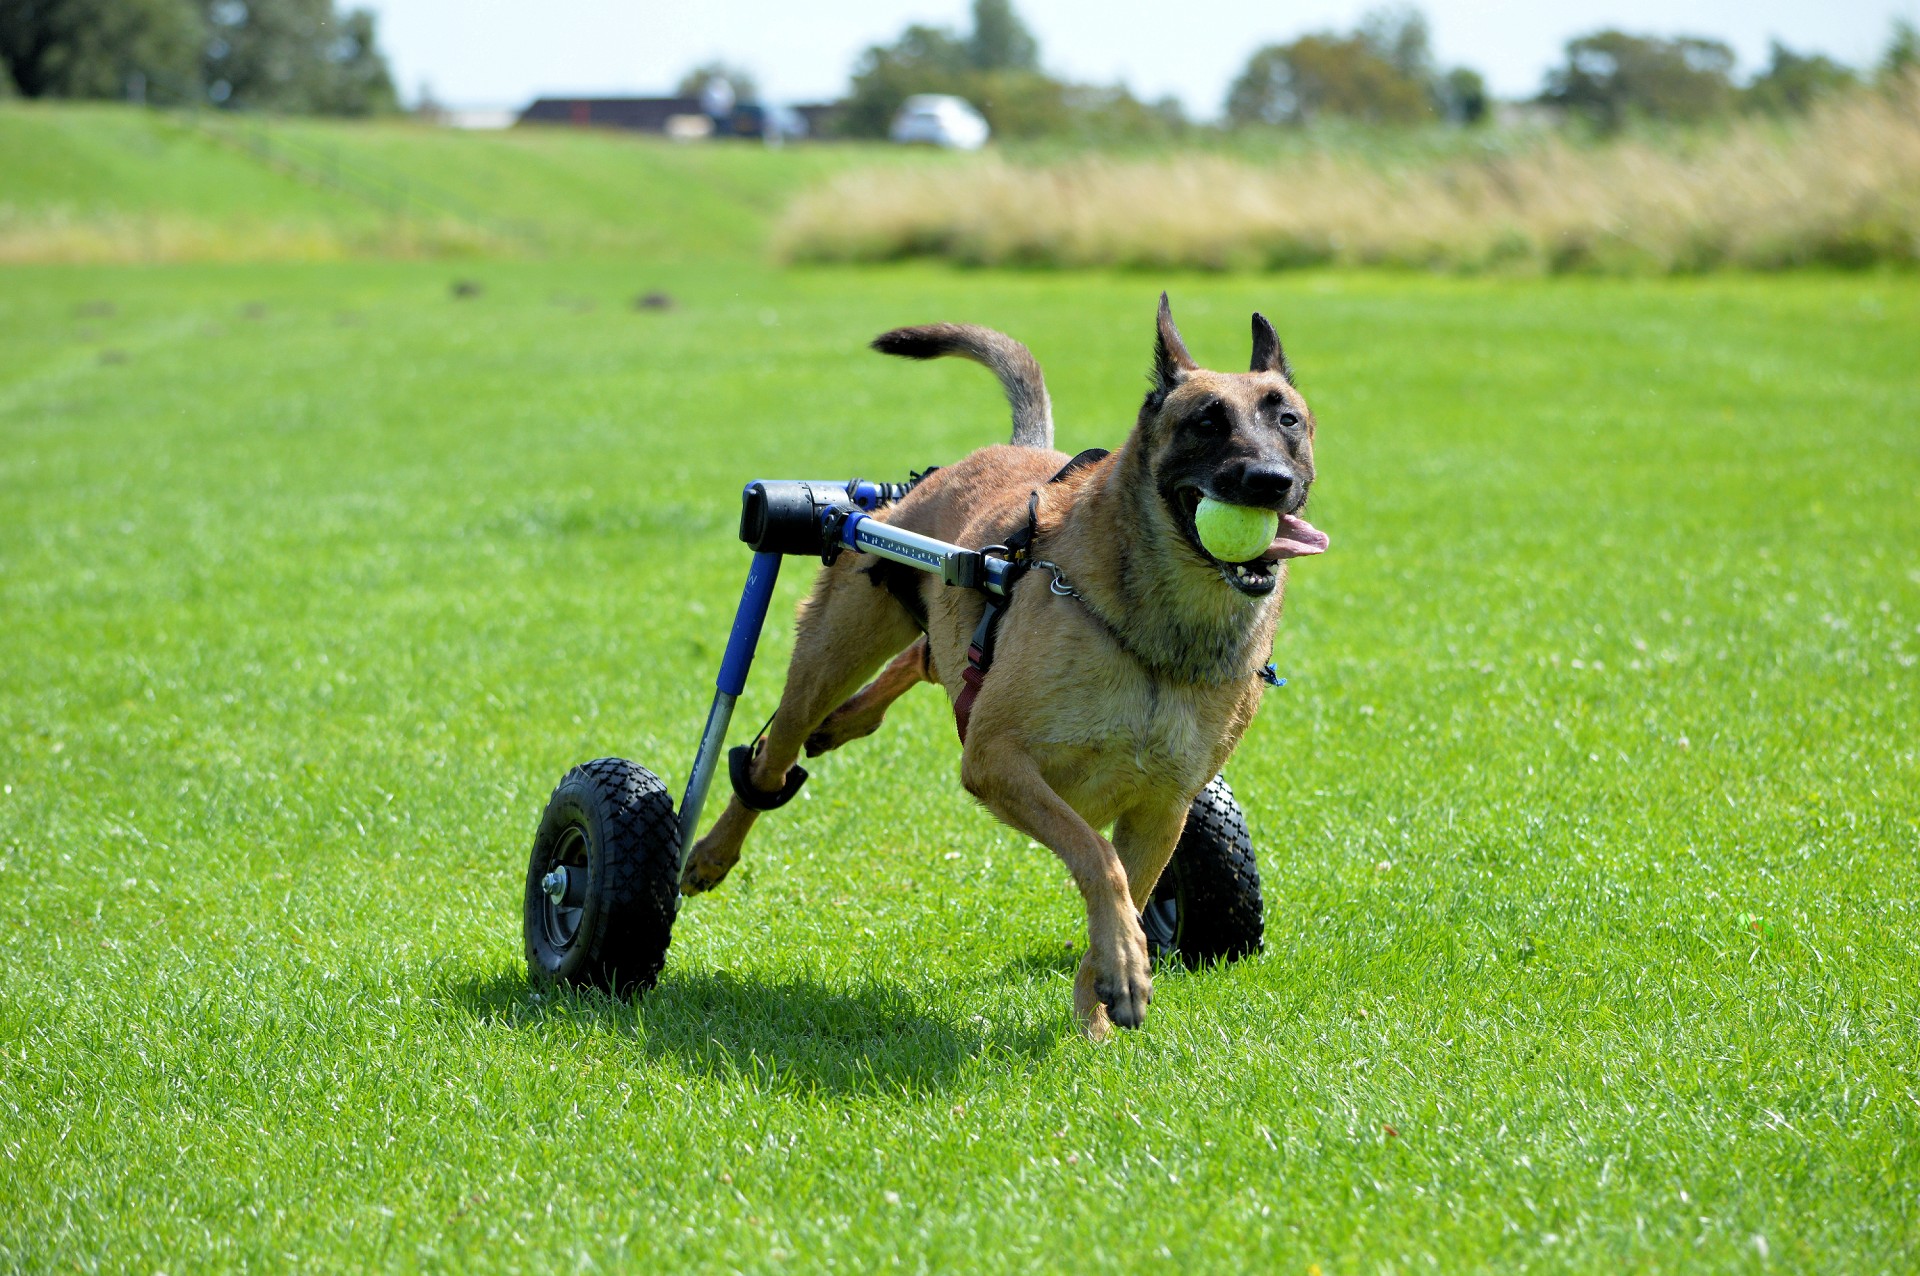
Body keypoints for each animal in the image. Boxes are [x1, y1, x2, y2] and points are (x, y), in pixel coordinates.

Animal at [683, 293, 1328, 1043]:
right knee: (770, 757)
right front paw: (1124, 970)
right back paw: (711, 850)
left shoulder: (1164, 809)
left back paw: (847, 722)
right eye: (1207, 421)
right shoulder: (996, 761)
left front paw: (1101, 1010)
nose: (1269, 482)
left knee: (925, 656)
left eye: (1287, 419)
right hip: (832, 646)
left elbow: (1123, 886)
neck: (1159, 632)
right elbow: (1098, 859)